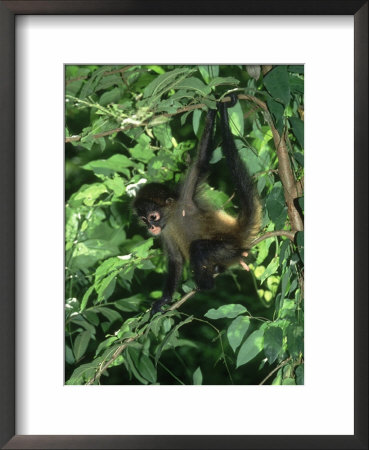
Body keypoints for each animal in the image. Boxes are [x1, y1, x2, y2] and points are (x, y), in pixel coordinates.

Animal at [134, 94, 260, 316]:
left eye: (153, 217)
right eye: (144, 220)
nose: (151, 227)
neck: (173, 216)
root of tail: (236, 231)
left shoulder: (186, 195)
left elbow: (201, 160)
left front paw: (211, 111)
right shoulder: (165, 232)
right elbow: (175, 260)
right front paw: (164, 299)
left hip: (227, 247)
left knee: (199, 247)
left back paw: (207, 283)